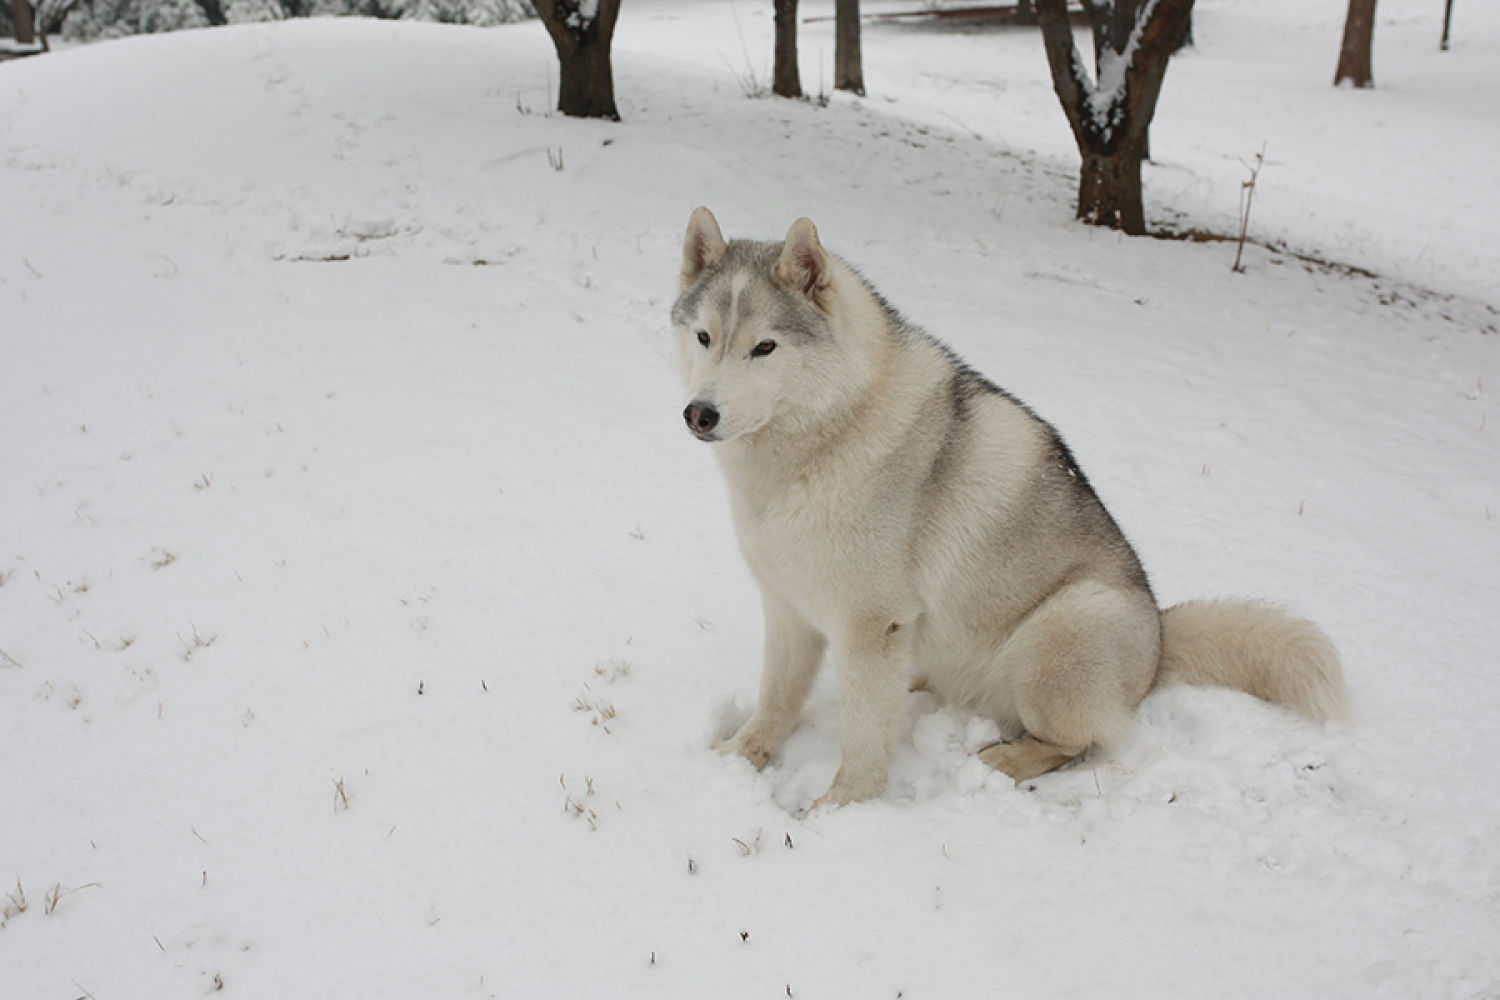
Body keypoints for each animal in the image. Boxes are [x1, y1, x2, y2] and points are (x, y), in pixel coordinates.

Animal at [672, 206, 1350, 809]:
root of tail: (1160, 640)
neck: (828, 433)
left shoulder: (870, 625)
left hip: (1059, 632)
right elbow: (776, 701)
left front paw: (839, 812)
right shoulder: (788, 608)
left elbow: (862, 741)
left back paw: (1004, 759)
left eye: (764, 348)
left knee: (1078, 742)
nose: (699, 413)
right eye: (704, 337)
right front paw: (741, 756)